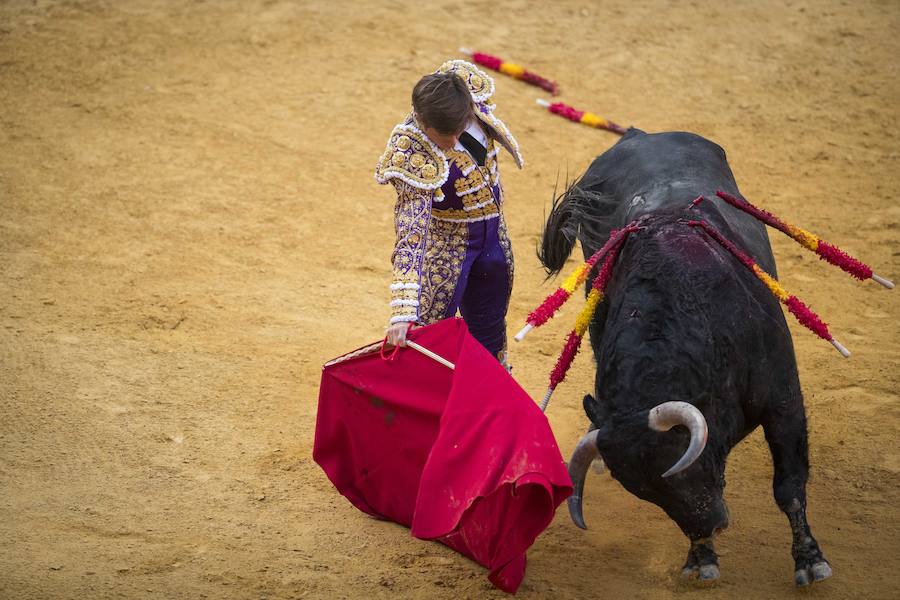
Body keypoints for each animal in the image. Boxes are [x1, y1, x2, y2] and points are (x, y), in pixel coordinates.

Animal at [536, 130, 832, 584]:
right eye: (647, 492)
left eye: (685, 465)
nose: (713, 524)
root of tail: (639, 135)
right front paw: (701, 559)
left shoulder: (783, 400)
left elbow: (790, 486)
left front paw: (810, 560)